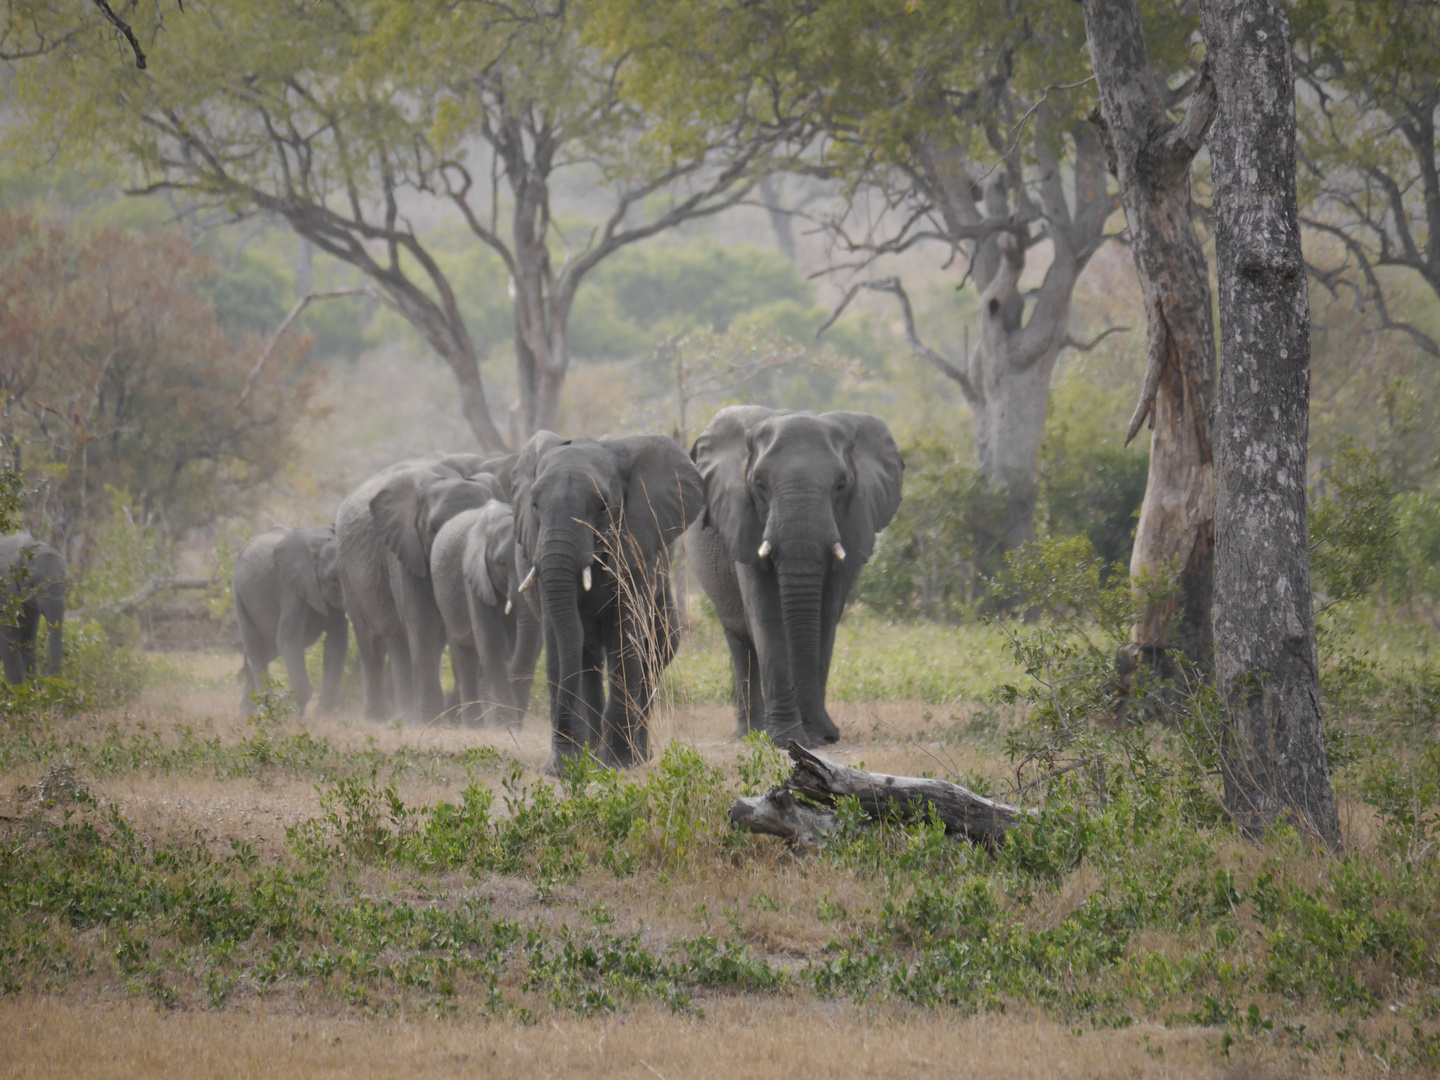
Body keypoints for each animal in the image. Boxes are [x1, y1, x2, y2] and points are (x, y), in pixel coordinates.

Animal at [236, 527, 351, 714]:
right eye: (333, 578)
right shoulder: (290, 588)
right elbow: (289, 639)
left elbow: (337, 641)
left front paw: (323, 716)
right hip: (239, 594)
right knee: (256, 647)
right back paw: (266, 708)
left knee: (269, 651)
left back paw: (246, 713)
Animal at [429, 498, 541, 728]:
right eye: (501, 563)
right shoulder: (473, 574)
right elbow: (491, 637)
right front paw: (501, 725)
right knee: (465, 661)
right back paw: (473, 724)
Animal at [512, 426, 702, 771]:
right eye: (534, 504)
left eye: (602, 507)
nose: (557, 765)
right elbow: (559, 642)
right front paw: (565, 767)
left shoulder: (636, 552)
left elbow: (626, 638)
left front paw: (619, 765)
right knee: (588, 661)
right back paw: (594, 752)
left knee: (654, 654)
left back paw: (635, 756)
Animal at [685, 408, 898, 748]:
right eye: (759, 484)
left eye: (841, 485)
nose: (830, 734)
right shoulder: (743, 520)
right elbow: (767, 617)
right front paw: (786, 739)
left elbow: (824, 617)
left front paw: (810, 736)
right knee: (740, 641)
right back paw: (748, 733)